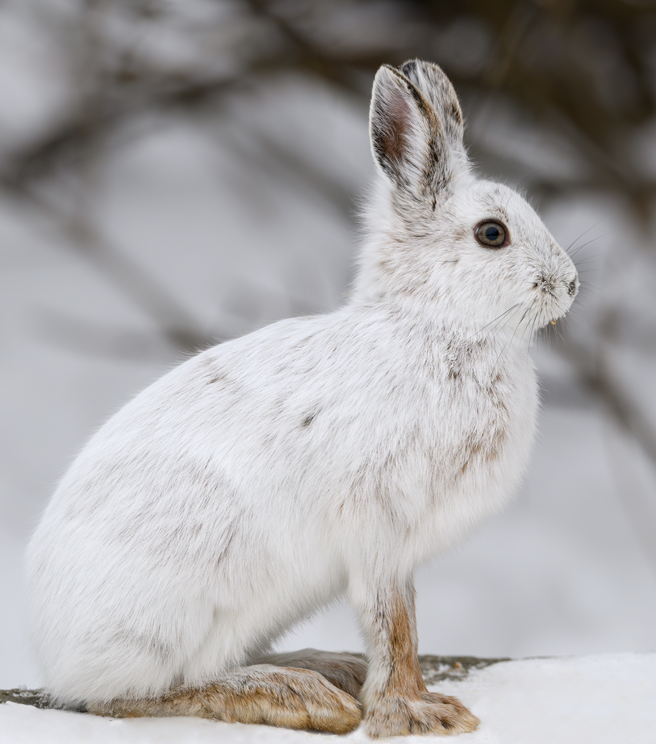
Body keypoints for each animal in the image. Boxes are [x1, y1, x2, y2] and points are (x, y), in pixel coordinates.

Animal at [25, 59, 578, 738]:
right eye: (492, 234)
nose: (571, 285)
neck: (431, 323)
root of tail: (55, 652)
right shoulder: (378, 524)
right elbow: (393, 624)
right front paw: (417, 713)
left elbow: (398, 622)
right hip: (188, 601)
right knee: (135, 694)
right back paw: (299, 695)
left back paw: (323, 667)